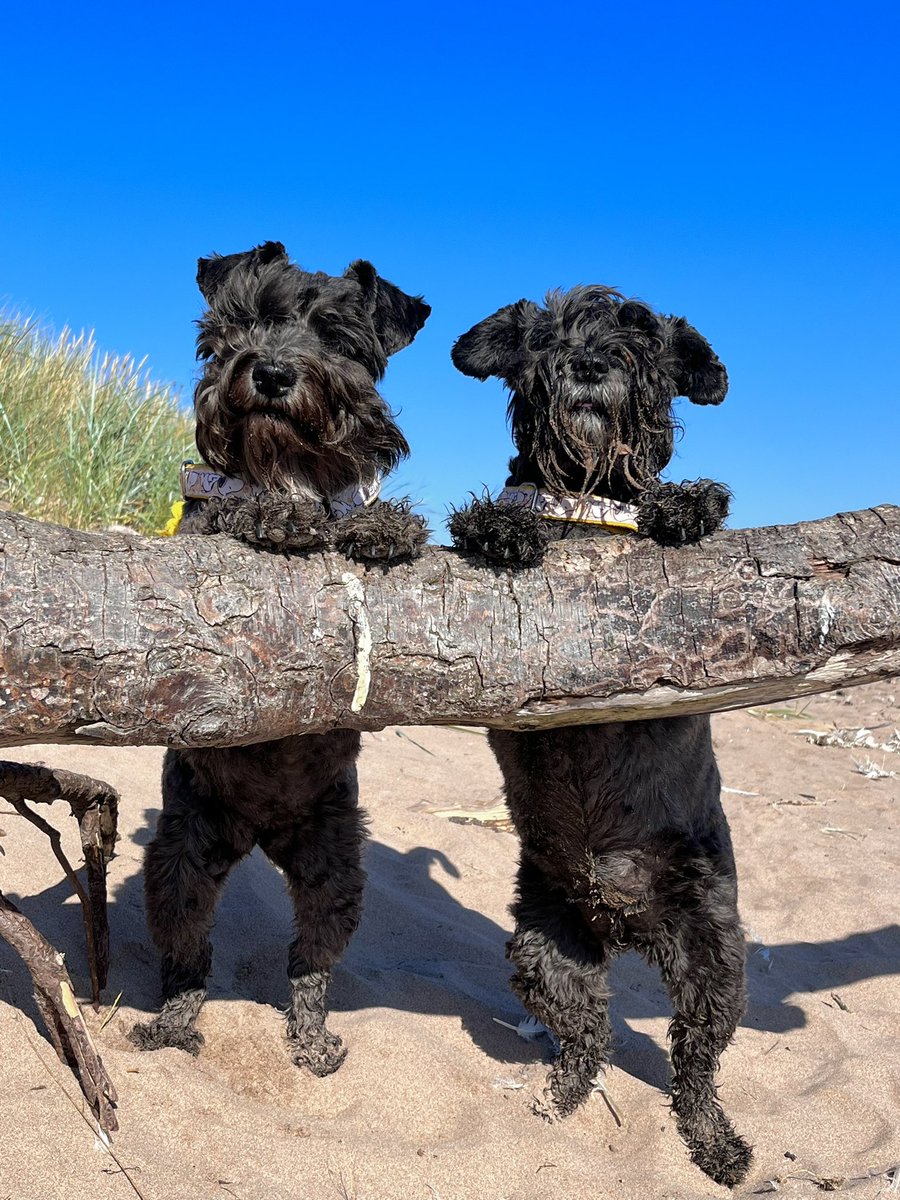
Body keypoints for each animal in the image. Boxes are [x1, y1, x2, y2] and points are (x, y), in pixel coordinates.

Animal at [127, 243, 434, 1080]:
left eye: (335, 334)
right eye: (241, 320)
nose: (268, 373)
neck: (288, 460)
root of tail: (260, 831)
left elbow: (363, 515)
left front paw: (388, 526)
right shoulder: (194, 533)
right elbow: (233, 509)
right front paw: (273, 511)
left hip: (335, 873)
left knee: (310, 963)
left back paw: (311, 1037)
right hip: (181, 860)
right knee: (186, 956)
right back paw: (172, 1026)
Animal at [451, 285, 753, 1185]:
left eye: (642, 335)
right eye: (546, 332)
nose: (588, 364)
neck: (589, 497)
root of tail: (621, 920)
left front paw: (684, 503)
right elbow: (490, 516)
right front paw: (502, 528)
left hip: (714, 961)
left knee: (695, 1068)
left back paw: (717, 1144)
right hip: (544, 949)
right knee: (587, 1041)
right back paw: (557, 1104)